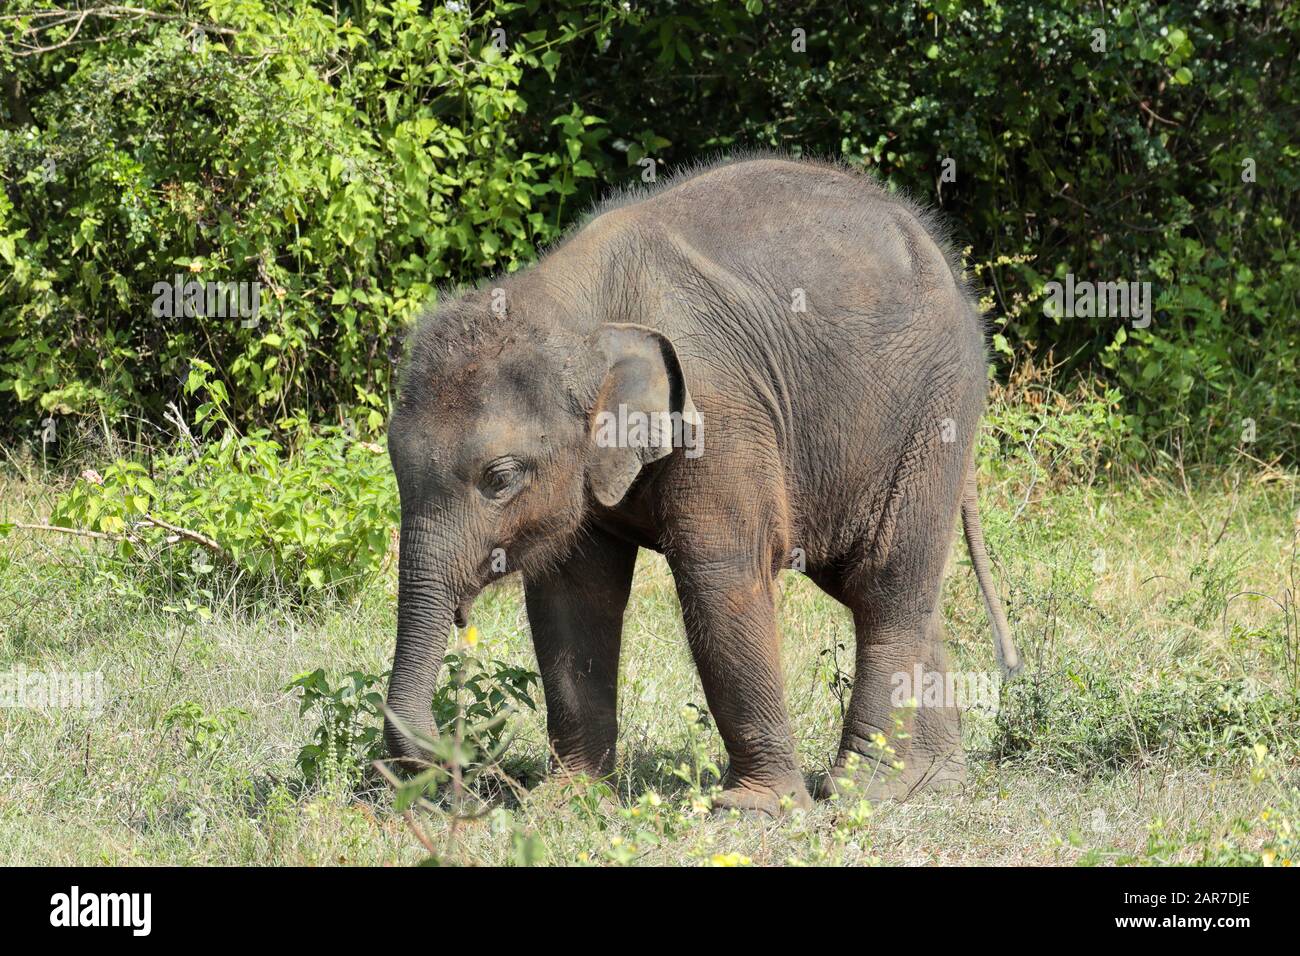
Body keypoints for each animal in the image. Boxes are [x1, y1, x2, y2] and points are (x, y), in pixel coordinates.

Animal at [379, 155, 1019, 816]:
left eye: (499, 479)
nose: (452, 770)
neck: (576, 303)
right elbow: (572, 594)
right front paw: (566, 801)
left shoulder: (720, 413)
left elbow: (721, 576)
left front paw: (753, 812)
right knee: (904, 591)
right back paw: (925, 783)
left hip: (933, 412)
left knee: (885, 586)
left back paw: (857, 791)